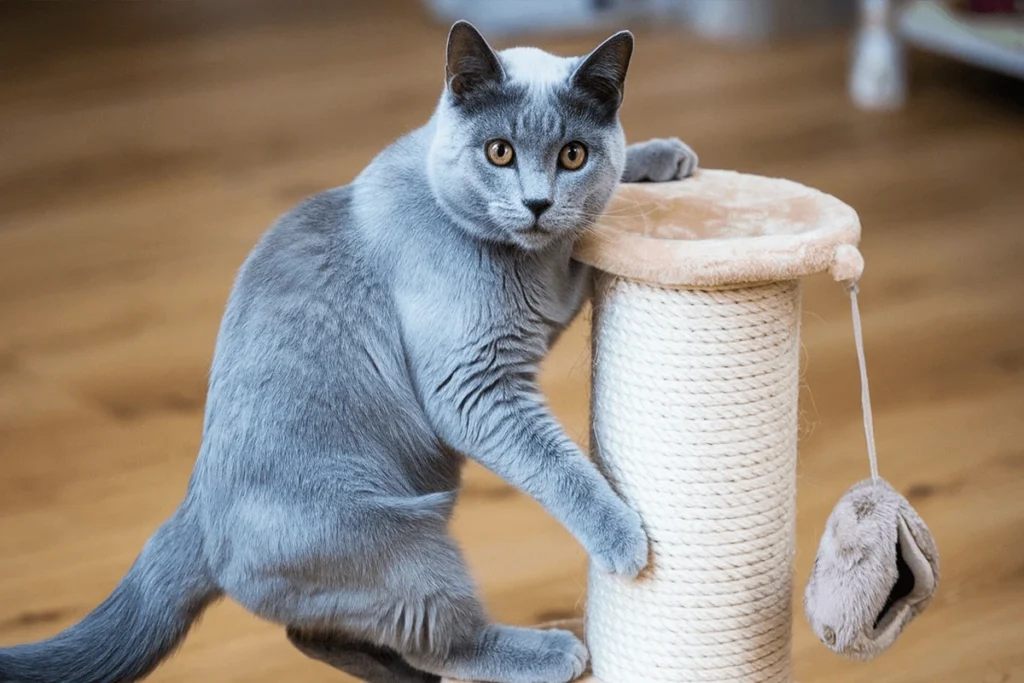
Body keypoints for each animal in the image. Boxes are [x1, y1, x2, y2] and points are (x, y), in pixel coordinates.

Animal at [0, 20, 696, 683]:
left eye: (573, 154)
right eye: (499, 152)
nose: (537, 203)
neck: (522, 257)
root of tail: (196, 515)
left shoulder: (545, 299)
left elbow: (589, 226)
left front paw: (661, 158)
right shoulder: (475, 385)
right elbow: (558, 464)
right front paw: (624, 539)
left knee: (313, 633)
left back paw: (403, 676)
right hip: (410, 547)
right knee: (439, 639)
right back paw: (552, 649)